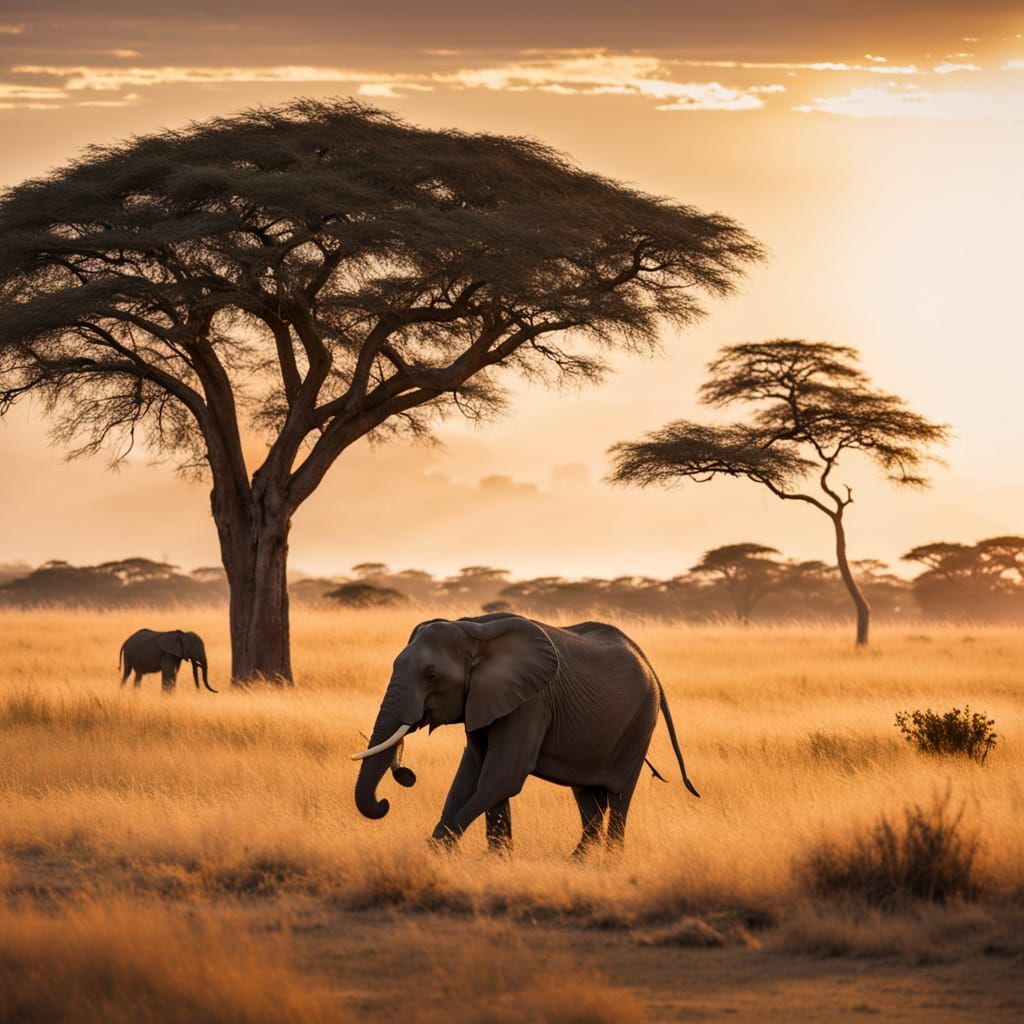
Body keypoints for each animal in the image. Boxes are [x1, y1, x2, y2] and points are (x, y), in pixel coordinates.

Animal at [352, 613, 699, 854]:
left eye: (432, 675)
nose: (385, 802)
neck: (474, 629)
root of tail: (647, 661)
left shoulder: (531, 703)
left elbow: (502, 776)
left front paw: (432, 854)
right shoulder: (483, 701)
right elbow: (473, 775)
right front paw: (497, 861)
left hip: (639, 723)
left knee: (619, 797)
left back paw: (610, 864)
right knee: (587, 797)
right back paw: (576, 864)